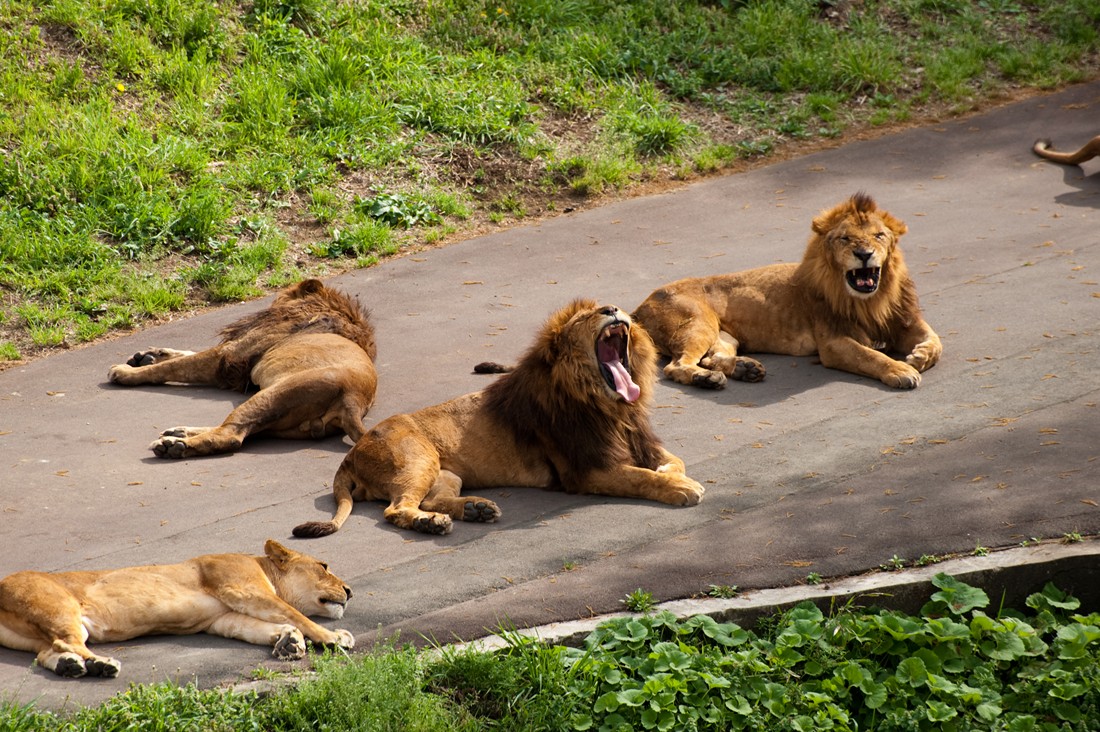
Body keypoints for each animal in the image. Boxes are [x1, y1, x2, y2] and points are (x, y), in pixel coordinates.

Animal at [0, 539, 352, 678]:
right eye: (324, 566)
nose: (350, 590)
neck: (264, 568)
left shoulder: (224, 617)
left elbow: (260, 627)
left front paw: (288, 641)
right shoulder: (242, 587)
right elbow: (295, 613)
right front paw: (334, 637)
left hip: (33, 634)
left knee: (48, 652)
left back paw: (70, 667)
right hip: (61, 608)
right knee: (67, 642)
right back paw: (101, 665)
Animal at [108, 278, 378, 457]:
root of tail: (354, 401)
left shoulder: (230, 358)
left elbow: (176, 366)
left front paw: (126, 372)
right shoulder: (233, 361)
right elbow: (184, 355)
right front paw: (148, 355)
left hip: (273, 395)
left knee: (230, 437)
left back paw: (174, 446)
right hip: (280, 423)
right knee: (239, 430)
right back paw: (179, 433)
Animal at [292, 299, 704, 537]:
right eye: (586, 317)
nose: (613, 310)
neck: (614, 408)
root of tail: (351, 454)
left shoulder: (641, 442)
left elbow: (672, 461)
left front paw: (672, 474)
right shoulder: (586, 470)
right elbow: (638, 478)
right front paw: (681, 488)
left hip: (445, 473)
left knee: (430, 500)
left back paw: (476, 509)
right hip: (417, 459)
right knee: (397, 509)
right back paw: (434, 524)